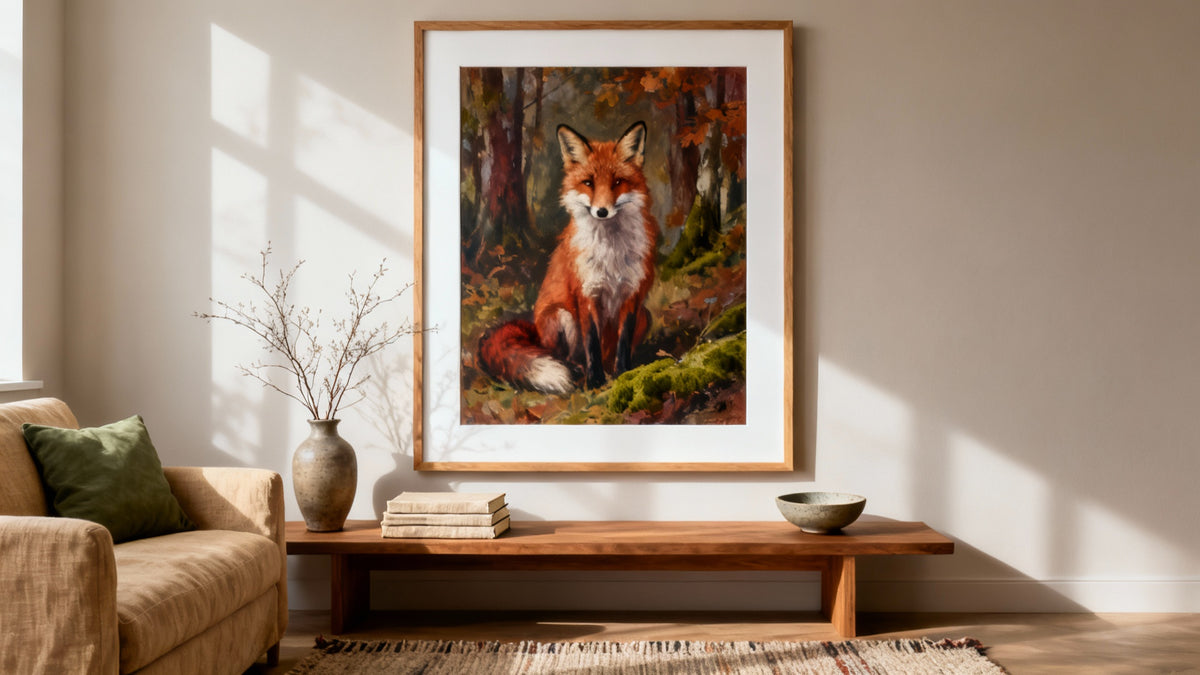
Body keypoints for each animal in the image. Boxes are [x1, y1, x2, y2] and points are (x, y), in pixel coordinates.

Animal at [476, 120, 659, 394]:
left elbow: (623, 343)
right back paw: (576, 370)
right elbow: (591, 342)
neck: (611, 251)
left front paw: (624, 373)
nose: (602, 211)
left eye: (617, 182)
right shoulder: (586, 294)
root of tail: (534, 328)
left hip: (645, 316)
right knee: (561, 355)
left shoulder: (632, 294)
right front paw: (595, 381)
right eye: (588, 183)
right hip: (563, 315)